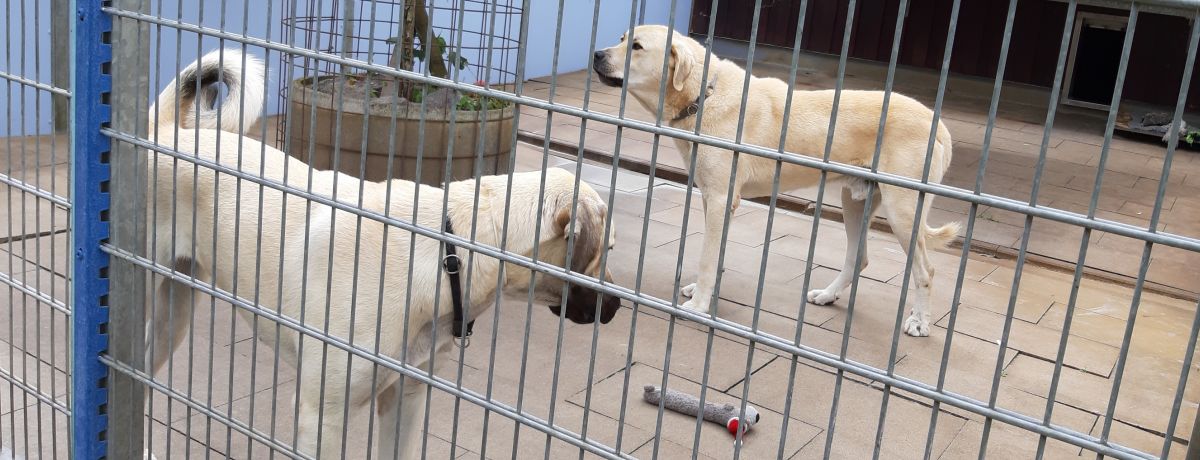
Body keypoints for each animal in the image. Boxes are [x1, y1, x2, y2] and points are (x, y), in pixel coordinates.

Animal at [143, 49, 620, 459]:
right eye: (609, 249)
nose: (617, 306)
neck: (449, 250)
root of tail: (161, 132)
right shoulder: (321, 415)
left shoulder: (405, 399)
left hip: (172, 316)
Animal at [593, 25, 960, 337]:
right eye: (621, 38)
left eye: (637, 46)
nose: (596, 54)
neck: (703, 95)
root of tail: (938, 123)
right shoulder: (713, 198)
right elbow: (716, 253)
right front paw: (704, 293)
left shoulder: (721, 199)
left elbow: (708, 258)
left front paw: (698, 306)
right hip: (854, 202)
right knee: (859, 258)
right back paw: (828, 295)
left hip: (903, 212)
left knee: (926, 271)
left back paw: (919, 322)